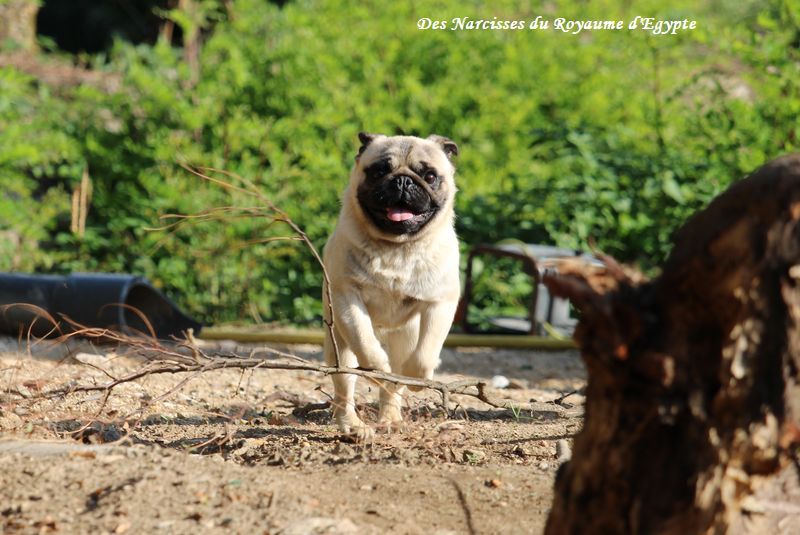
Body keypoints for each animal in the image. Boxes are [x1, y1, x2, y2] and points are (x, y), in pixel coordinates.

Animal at [322, 132, 460, 438]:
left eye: (429, 176)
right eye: (378, 172)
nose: (403, 181)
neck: (397, 248)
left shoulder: (440, 304)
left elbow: (425, 356)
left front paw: (417, 380)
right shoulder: (347, 298)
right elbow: (366, 343)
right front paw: (378, 367)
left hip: (405, 336)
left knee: (394, 384)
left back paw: (390, 417)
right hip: (339, 346)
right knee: (345, 387)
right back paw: (353, 426)